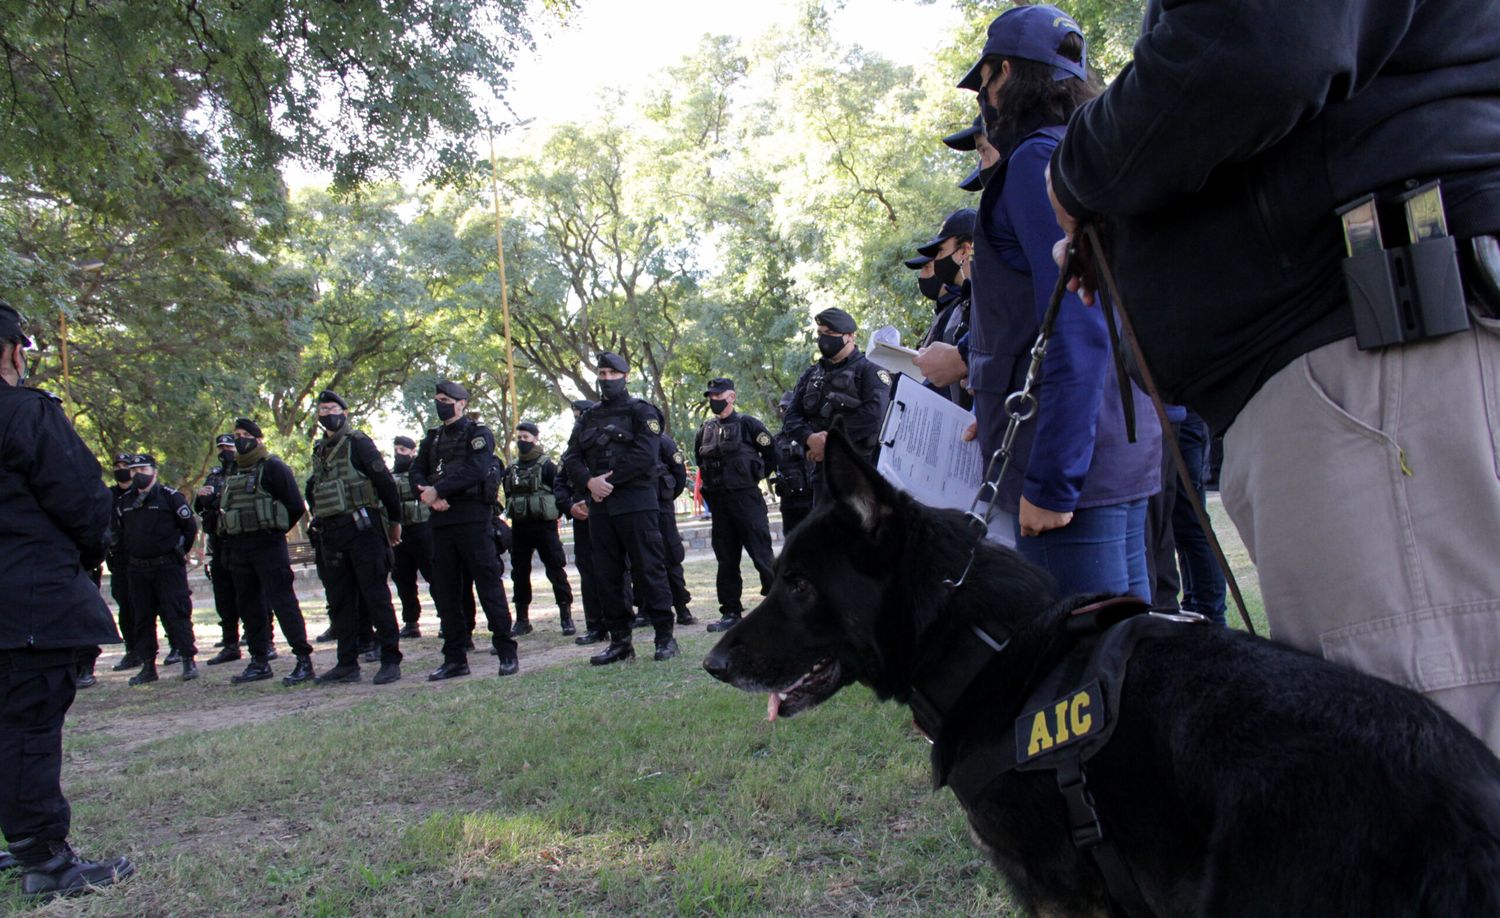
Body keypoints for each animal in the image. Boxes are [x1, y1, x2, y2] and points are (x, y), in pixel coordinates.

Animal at [702, 432, 1500, 918]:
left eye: (798, 586)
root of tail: (1472, 811)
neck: (989, 648)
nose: (713, 665)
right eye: (777, 577)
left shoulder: (1062, 895)